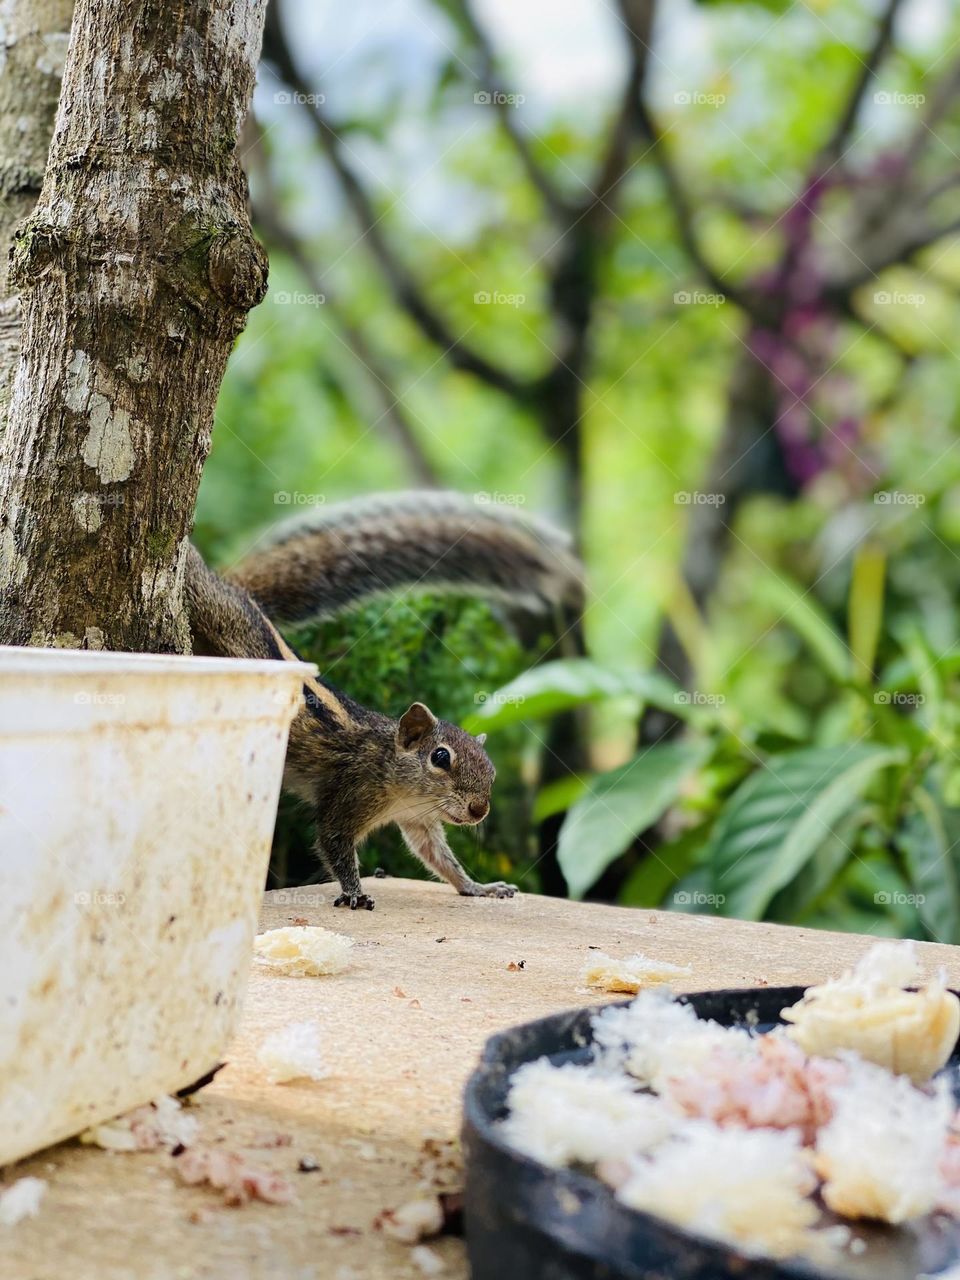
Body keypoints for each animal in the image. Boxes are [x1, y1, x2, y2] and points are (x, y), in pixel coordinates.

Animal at [185, 491, 583, 910]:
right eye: (440, 757)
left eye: (491, 770)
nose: (479, 810)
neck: (401, 785)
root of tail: (242, 594)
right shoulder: (351, 794)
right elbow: (334, 842)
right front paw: (355, 892)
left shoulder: (420, 821)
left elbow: (440, 859)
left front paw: (479, 887)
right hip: (220, 615)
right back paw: (191, 560)